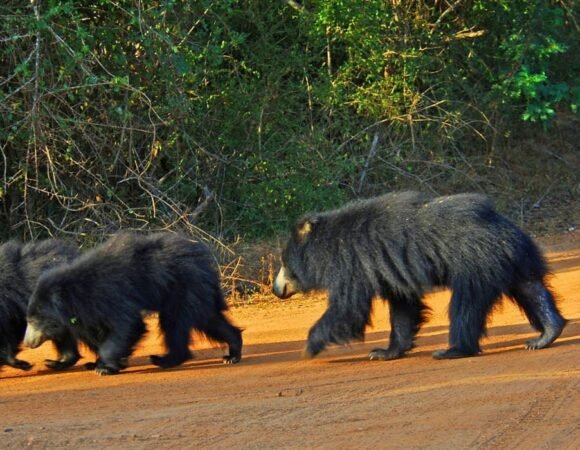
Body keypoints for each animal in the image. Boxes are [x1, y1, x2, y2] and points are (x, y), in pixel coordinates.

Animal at [24, 232, 242, 376]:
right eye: (28, 320)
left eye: (34, 321)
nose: (27, 342)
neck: (75, 294)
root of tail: (204, 260)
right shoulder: (89, 311)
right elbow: (99, 332)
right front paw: (94, 363)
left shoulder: (111, 295)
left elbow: (128, 325)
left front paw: (105, 368)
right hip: (194, 290)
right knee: (209, 319)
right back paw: (232, 353)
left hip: (183, 287)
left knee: (175, 323)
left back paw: (165, 359)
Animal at [274, 192, 568, 360]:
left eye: (285, 264)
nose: (276, 290)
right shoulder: (389, 271)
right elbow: (403, 307)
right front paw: (384, 352)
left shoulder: (350, 264)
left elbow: (348, 309)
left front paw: (308, 347)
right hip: (512, 259)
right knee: (531, 288)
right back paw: (545, 335)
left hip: (475, 263)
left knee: (465, 306)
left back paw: (452, 350)